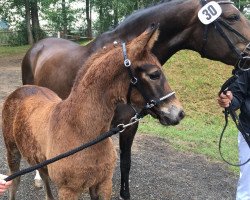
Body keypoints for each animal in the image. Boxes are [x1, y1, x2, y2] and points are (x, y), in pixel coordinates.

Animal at [2, 27, 185, 200]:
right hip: (12, 152)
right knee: (14, 182)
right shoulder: (68, 190)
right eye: (154, 74)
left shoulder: (103, 183)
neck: (81, 131)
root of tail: (22, 89)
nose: (179, 113)